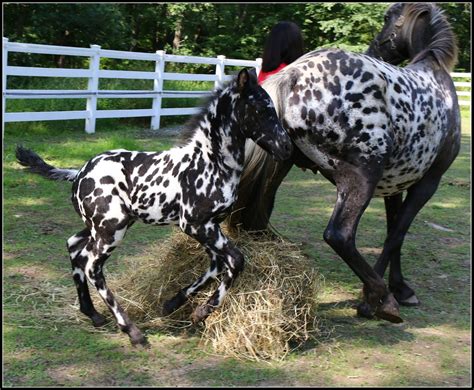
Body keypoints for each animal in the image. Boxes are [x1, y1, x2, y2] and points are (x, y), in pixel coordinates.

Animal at [14, 68, 292, 346]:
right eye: (261, 108)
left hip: (103, 226)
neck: (210, 162)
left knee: (74, 247)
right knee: (92, 267)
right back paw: (132, 331)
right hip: (111, 231)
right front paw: (202, 312)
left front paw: (172, 303)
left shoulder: (209, 227)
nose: (286, 147)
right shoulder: (196, 224)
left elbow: (215, 266)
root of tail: (80, 172)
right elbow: (235, 260)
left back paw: (92, 314)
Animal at [226, 3, 460, 322]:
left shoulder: (396, 186)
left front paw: (400, 287)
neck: (437, 78)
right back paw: (383, 300)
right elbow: (397, 234)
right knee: (340, 235)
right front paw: (375, 298)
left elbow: (394, 232)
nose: (376, 48)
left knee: (253, 220)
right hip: (361, 178)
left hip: (279, 169)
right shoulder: (427, 183)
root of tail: (293, 74)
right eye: (387, 18)